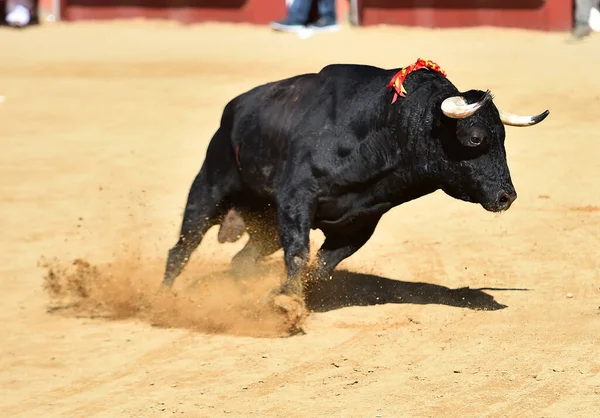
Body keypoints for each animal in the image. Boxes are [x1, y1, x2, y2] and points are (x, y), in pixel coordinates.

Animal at [159, 63, 548, 320]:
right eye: (476, 138)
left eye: (503, 137)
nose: (506, 196)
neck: (387, 131)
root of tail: (234, 108)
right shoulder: (296, 198)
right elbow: (299, 255)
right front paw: (287, 306)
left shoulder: (360, 222)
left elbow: (319, 266)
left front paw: (277, 296)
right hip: (208, 190)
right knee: (181, 248)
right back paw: (162, 302)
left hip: (266, 225)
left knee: (241, 261)